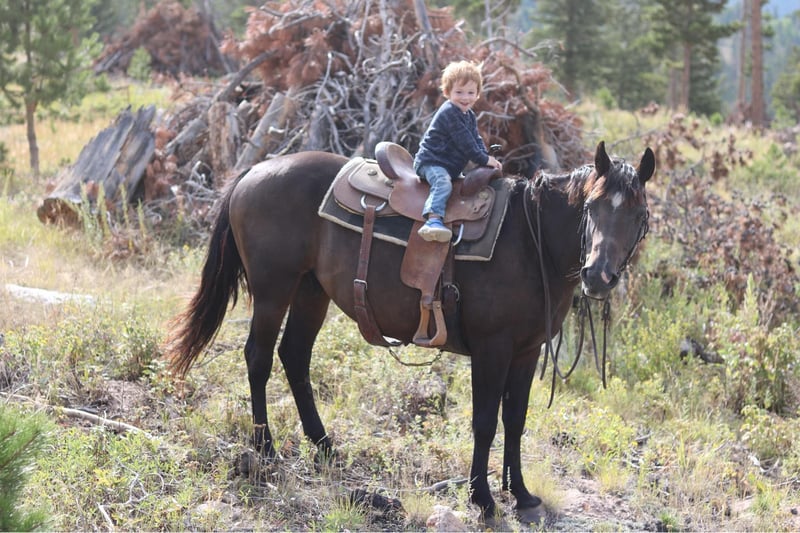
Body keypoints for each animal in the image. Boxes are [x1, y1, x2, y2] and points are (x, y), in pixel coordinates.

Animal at [166, 140, 655, 520]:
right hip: (274, 290)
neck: (530, 241)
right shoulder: (492, 348)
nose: (597, 276)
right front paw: (483, 499)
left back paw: (324, 446)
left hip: (310, 291)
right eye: (590, 208)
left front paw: (521, 495)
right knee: (259, 357)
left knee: (295, 358)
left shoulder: (527, 351)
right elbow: (484, 422)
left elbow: (515, 421)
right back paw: (265, 447)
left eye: (639, 216)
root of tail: (256, 170)